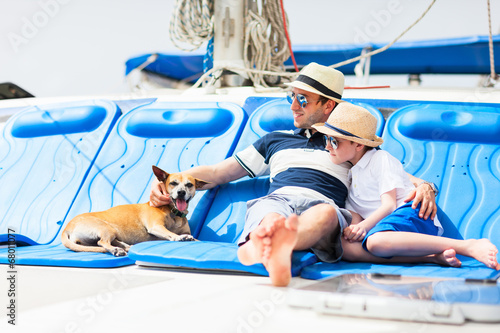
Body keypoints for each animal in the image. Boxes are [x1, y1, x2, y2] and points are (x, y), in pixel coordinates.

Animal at [61, 165, 208, 255]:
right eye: (173, 183)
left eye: (189, 185)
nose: (181, 192)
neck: (173, 212)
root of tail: (66, 227)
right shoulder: (156, 227)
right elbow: (171, 234)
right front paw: (180, 237)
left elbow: (196, 239)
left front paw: (190, 238)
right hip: (107, 228)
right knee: (102, 242)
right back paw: (116, 250)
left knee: (109, 242)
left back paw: (124, 247)